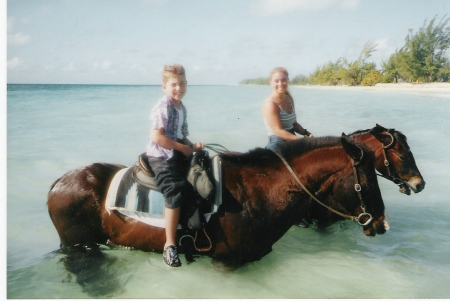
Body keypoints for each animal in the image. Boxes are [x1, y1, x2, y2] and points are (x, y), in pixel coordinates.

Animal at [48, 135, 386, 266]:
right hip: (79, 245)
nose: (382, 224)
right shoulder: (228, 262)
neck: (260, 194)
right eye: (368, 181)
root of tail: (58, 183)